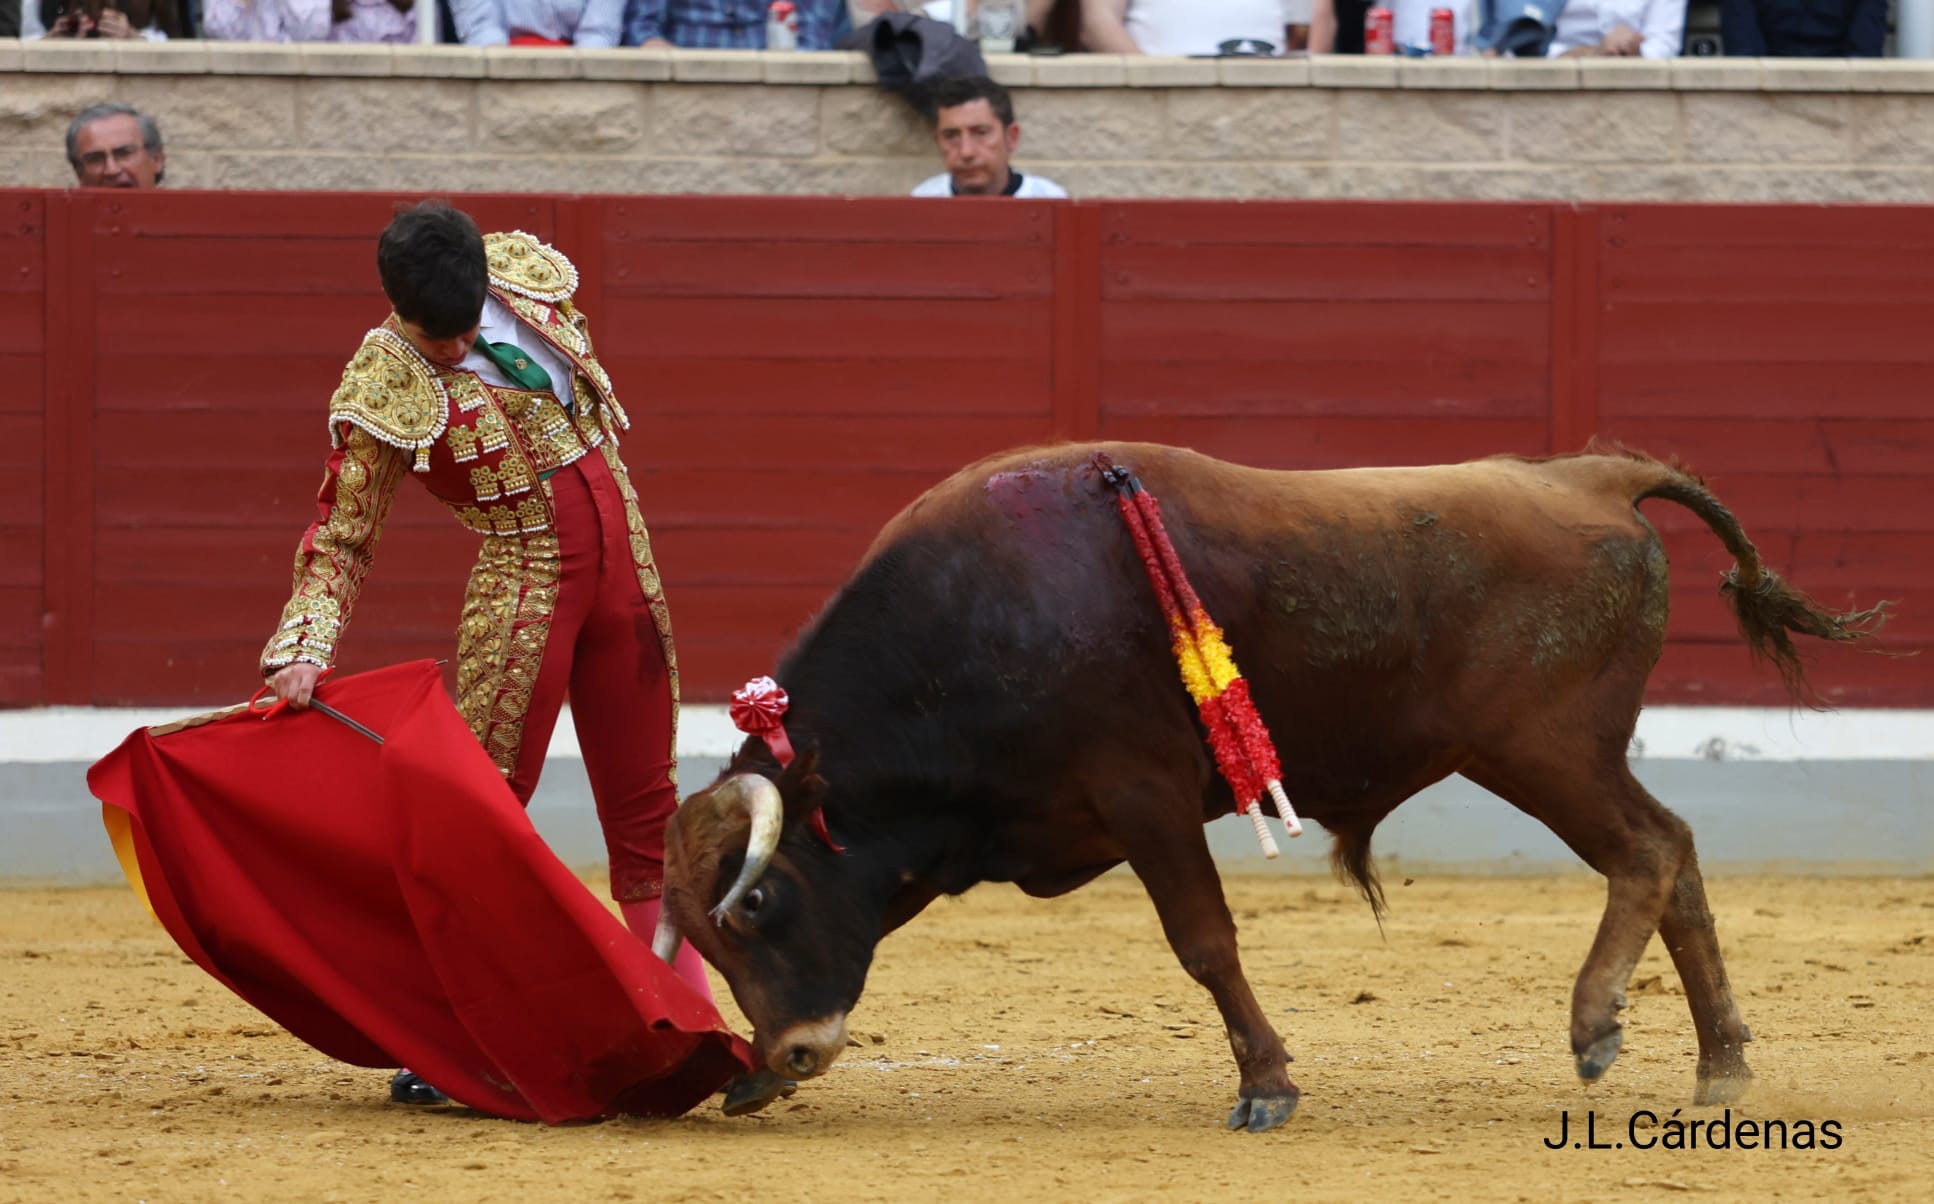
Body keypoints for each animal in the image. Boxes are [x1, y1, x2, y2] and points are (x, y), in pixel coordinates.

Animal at [657, 440, 1879, 1128]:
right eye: (707, 936)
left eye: (756, 904)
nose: (793, 1051)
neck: (976, 628)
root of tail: (1591, 476)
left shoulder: (1143, 796)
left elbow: (1203, 940)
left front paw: (1267, 1087)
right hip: (1567, 755)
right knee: (1674, 852)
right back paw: (1721, 1064)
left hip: (1546, 751)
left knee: (1649, 849)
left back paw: (1594, 1027)